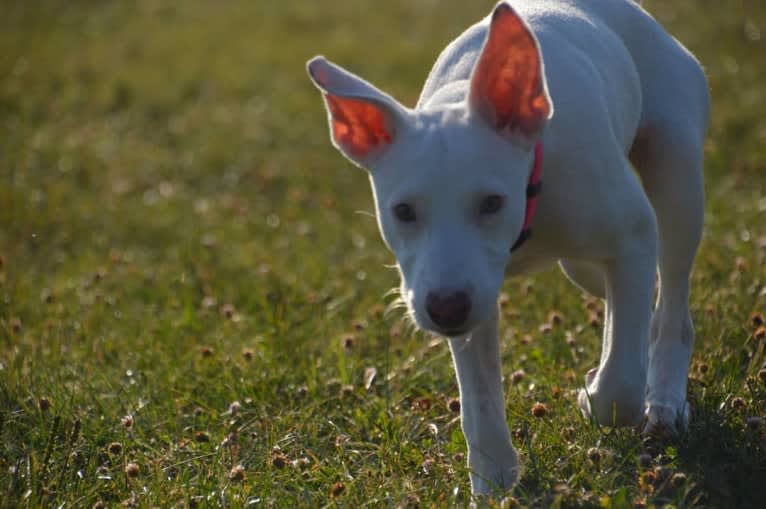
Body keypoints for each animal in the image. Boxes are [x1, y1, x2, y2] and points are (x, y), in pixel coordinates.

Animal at [308, 0, 712, 494]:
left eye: (491, 203)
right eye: (403, 211)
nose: (445, 309)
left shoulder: (633, 234)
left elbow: (621, 385)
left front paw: (596, 398)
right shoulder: (469, 290)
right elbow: (479, 398)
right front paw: (494, 480)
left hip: (676, 173)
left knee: (670, 303)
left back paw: (665, 401)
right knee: (608, 286)